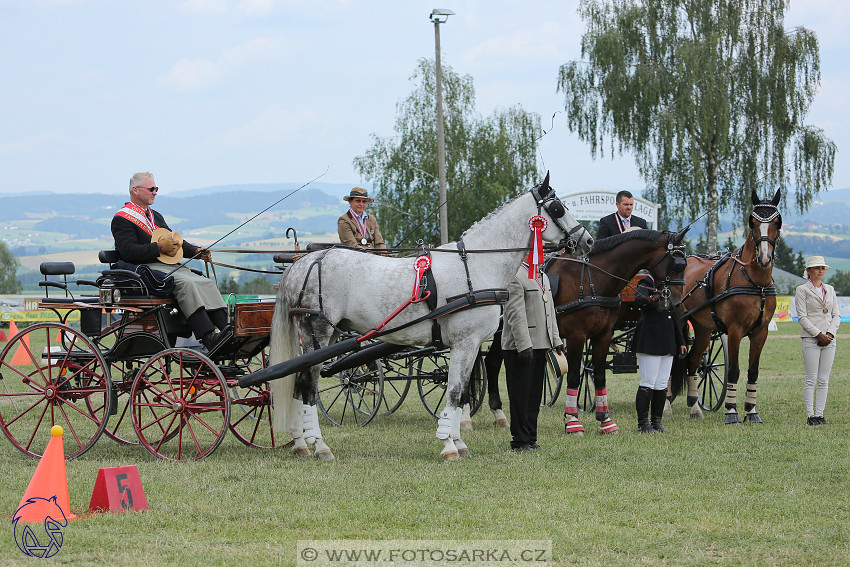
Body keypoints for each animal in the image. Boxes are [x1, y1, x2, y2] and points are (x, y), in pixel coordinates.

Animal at [268, 176, 592, 462]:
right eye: (558, 208)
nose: (586, 240)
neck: (476, 265)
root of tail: (303, 263)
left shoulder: (470, 345)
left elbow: (460, 393)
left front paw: (459, 442)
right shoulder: (465, 342)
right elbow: (455, 392)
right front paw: (449, 446)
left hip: (329, 335)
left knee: (297, 384)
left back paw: (300, 444)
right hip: (316, 333)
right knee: (308, 386)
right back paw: (320, 446)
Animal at [672, 189, 780, 424]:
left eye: (777, 222)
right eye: (752, 222)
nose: (764, 257)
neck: (755, 282)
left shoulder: (761, 332)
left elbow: (753, 371)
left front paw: (751, 411)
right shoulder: (735, 330)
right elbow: (733, 371)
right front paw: (731, 411)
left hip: (703, 328)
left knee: (693, 361)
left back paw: (695, 407)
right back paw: (667, 406)